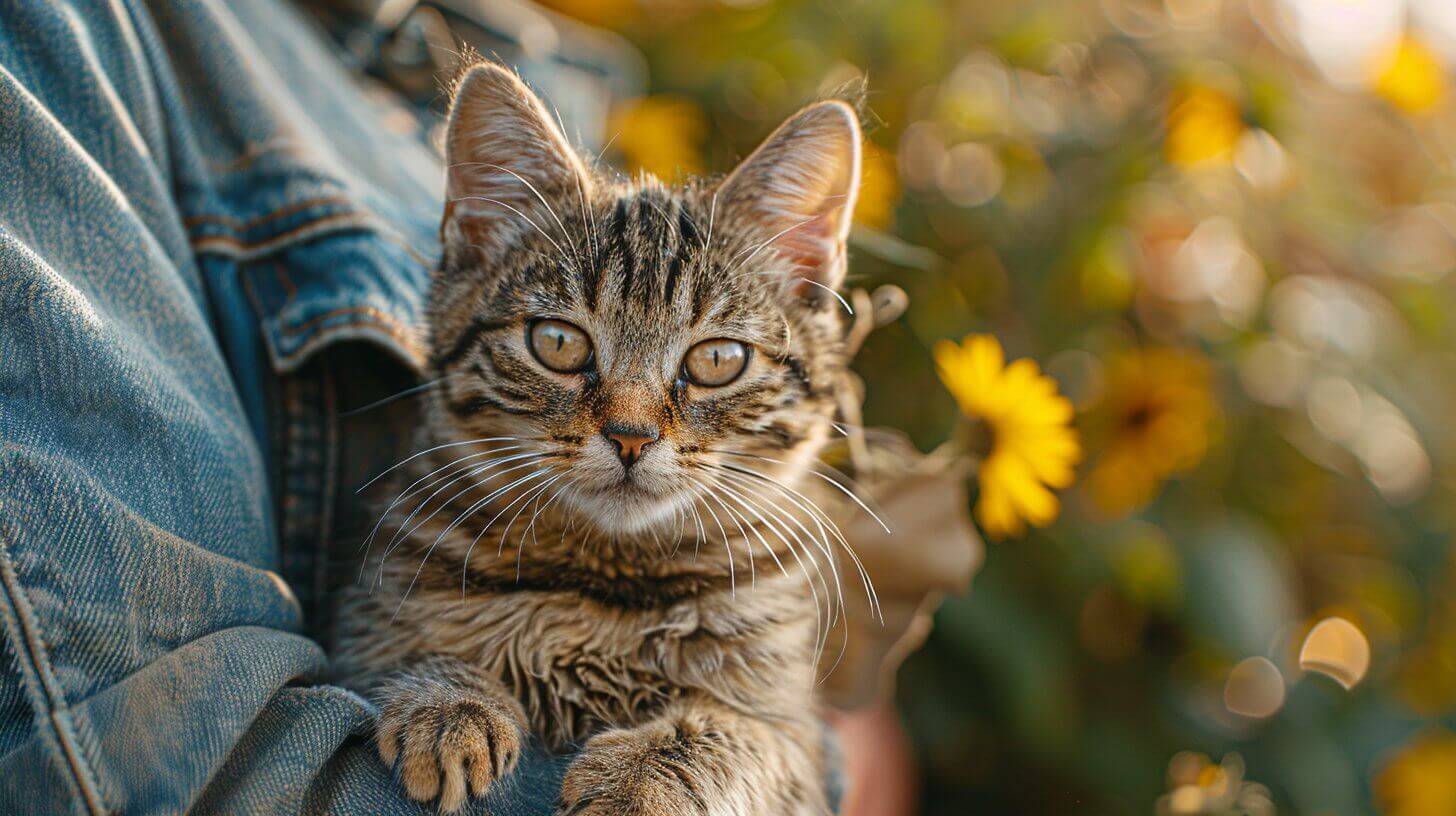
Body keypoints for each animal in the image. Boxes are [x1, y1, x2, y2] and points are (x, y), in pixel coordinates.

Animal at [333, 62, 861, 816]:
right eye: (557, 344)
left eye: (717, 360)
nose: (631, 436)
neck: (605, 577)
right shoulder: (363, 623)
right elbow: (405, 649)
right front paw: (448, 700)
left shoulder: (794, 735)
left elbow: (728, 733)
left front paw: (637, 781)